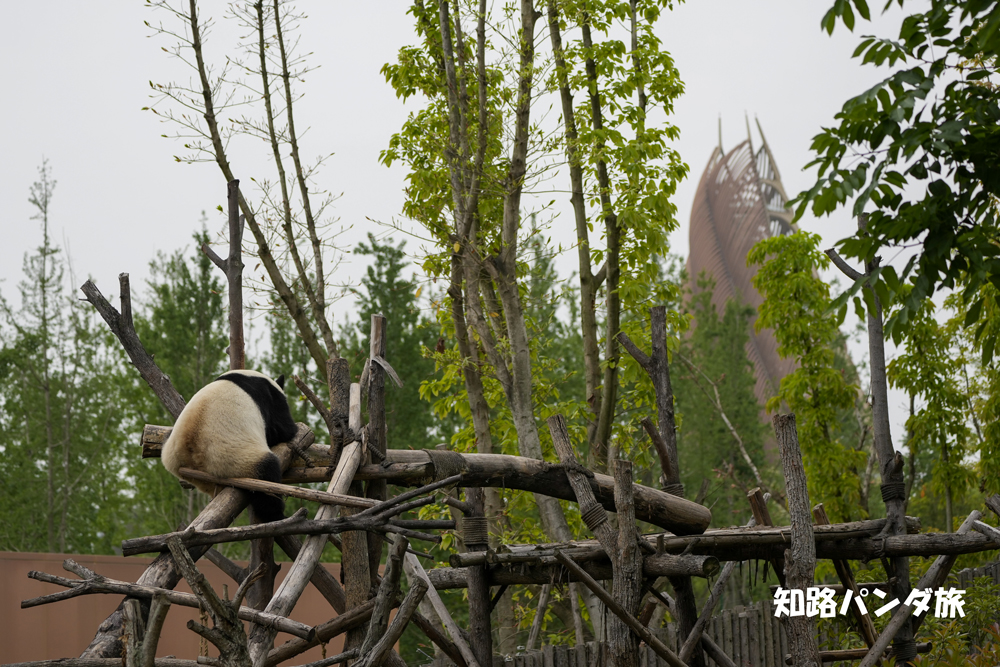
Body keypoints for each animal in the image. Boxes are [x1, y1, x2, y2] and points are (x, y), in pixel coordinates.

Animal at [161, 369, 298, 523]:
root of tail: (191, 455)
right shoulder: (268, 397)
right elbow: (280, 428)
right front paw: (294, 429)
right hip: (234, 460)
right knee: (267, 475)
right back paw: (276, 515)